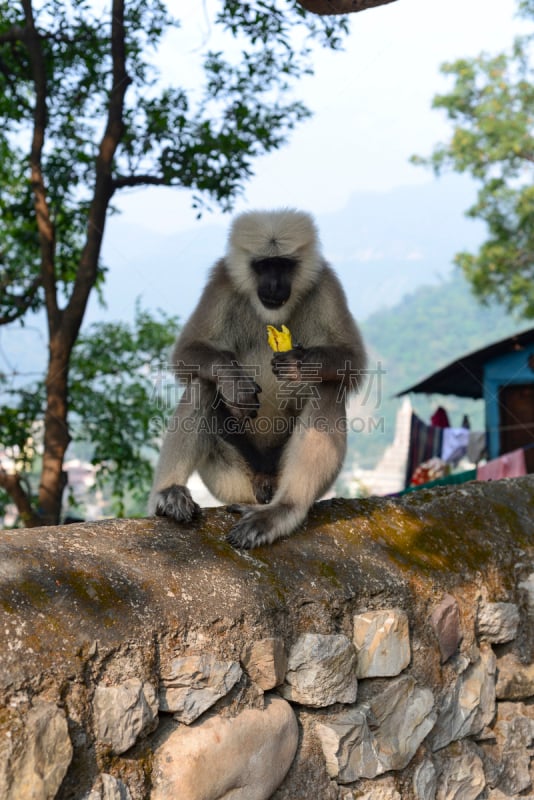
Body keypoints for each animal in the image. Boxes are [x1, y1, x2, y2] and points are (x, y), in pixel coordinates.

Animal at [150, 208, 368, 552]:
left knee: (327, 387)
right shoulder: (223, 280)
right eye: (263, 266)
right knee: (203, 384)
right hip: (231, 478)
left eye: (284, 265)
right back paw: (168, 493)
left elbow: (352, 362)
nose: (274, 284)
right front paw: (232, 379)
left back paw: (282, 510)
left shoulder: (325, 282)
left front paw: (298, 364)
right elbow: (187, 354)